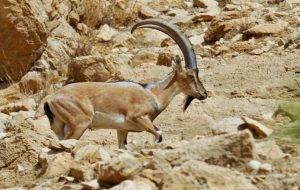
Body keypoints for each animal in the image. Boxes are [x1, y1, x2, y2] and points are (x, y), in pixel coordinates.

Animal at [44, 18, 207, 148]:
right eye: (191, 75)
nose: (204, 94)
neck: (153, 93)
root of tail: (51, 100)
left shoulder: (122, 129)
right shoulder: (138, 117)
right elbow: (158, 134)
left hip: (61, 127)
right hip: (80, 123)